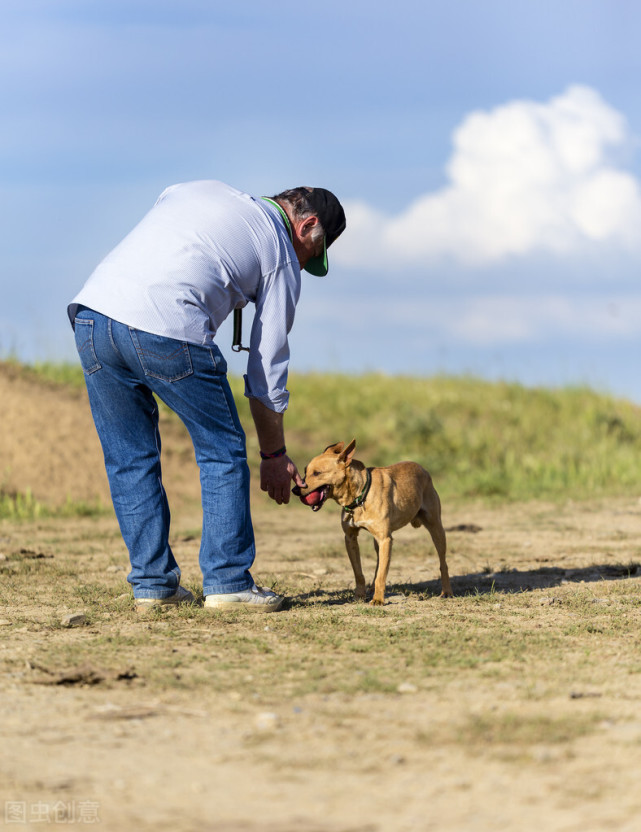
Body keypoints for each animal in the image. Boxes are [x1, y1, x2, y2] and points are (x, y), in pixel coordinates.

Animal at [292, 442, 452, 604]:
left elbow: (381, 575)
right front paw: (359, 596)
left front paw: (378, 600)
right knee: (378, 564)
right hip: (378, 542)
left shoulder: (385, 539)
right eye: (305, 471)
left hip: (436, 529)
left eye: (317, 473)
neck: (360, 497)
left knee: (443, 564)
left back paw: (446, 592)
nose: (295, 489)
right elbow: (359, 573)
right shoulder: (350, 539)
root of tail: (423, 469)